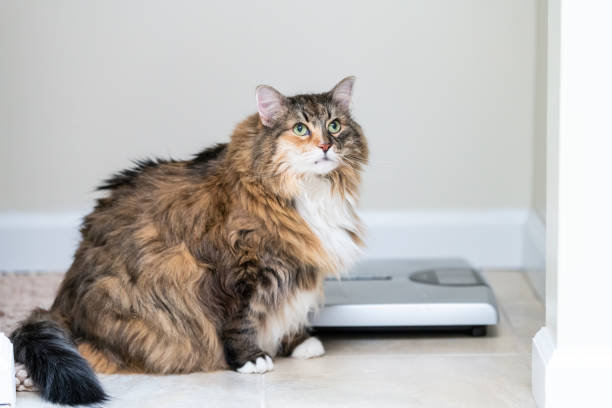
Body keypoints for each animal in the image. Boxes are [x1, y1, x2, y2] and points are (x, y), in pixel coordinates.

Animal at [10, 76, 368, 404]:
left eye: (335, 125)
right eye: (300, 129)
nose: (326, 146)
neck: (309, 190)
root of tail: (59, 307)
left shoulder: (296, 267)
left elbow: (291, 307)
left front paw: (299, 342)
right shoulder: (237, 272)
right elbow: (241, 321)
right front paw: (251, 360)